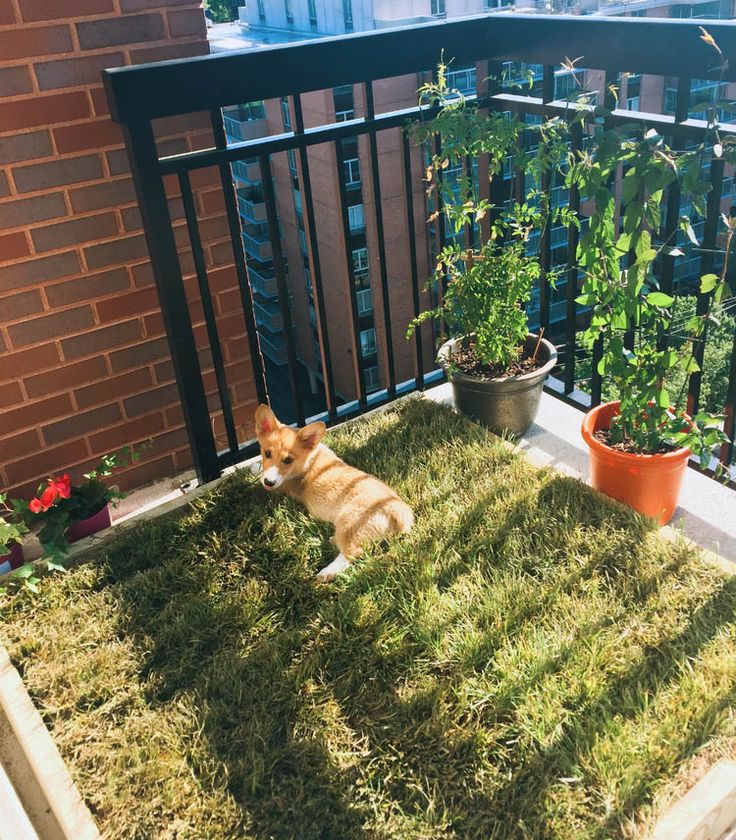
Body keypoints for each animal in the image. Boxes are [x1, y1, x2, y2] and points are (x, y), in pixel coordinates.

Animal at [253, 406, 414, 576]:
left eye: (288, 460)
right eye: (267, 453)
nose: (268, 482)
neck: (310, 458)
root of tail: (401, 513)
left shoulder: (284, 485)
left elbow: (260, 473)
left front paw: (254, 469)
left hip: (350, 520)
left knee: (352, 553)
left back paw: (326, 573)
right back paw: (333, 540)